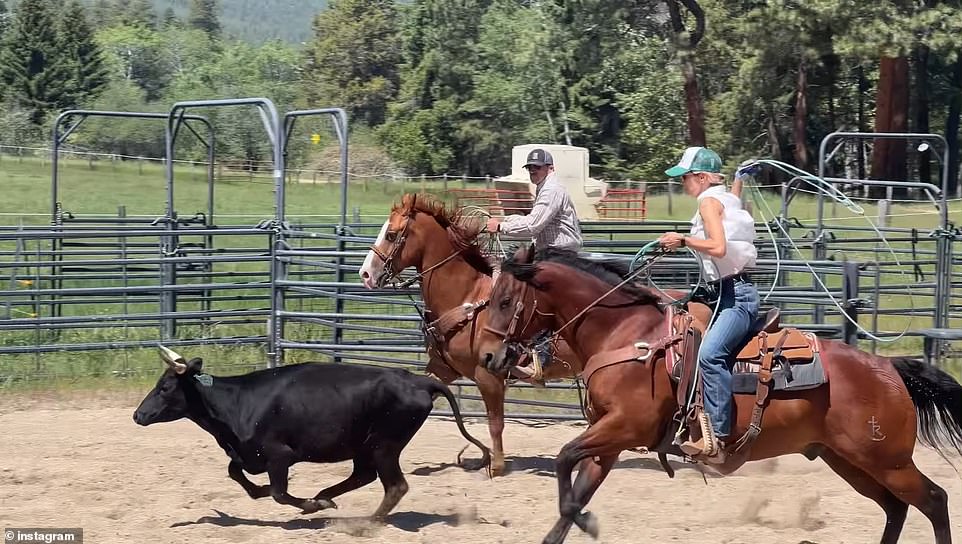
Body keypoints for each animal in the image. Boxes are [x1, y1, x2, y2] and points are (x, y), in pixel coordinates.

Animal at [356, 194, 580, 476]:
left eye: (391, 235)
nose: (365, 274)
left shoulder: (489, 375)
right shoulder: (443, 369)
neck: (467, 299)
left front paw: (496, 466)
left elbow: (496, 423)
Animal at [478, 246, 960, 544]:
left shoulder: (625, 427)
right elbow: (574, 493)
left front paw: (587, 522)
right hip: (849, 460)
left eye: (504, 301)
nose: (488, 356)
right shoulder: (608, 440)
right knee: (896, 509)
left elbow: (562, 459)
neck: (626, 333)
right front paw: (578, 519)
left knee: (933, 501)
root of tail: (888, 369)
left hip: (887, 460)